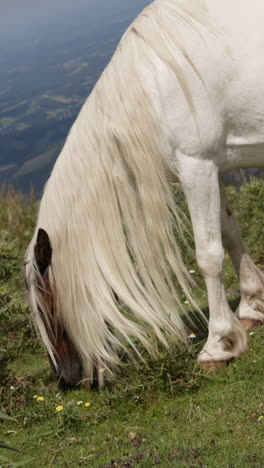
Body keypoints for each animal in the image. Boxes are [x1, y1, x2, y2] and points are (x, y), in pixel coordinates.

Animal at [25, 0, 264, 388]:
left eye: (49, 309)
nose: (66, 378)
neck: (153, 89)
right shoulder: (211, 167)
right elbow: (230, 234)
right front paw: (251, 306)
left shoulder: (196, 167)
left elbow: (208, 256)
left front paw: (218, 345)